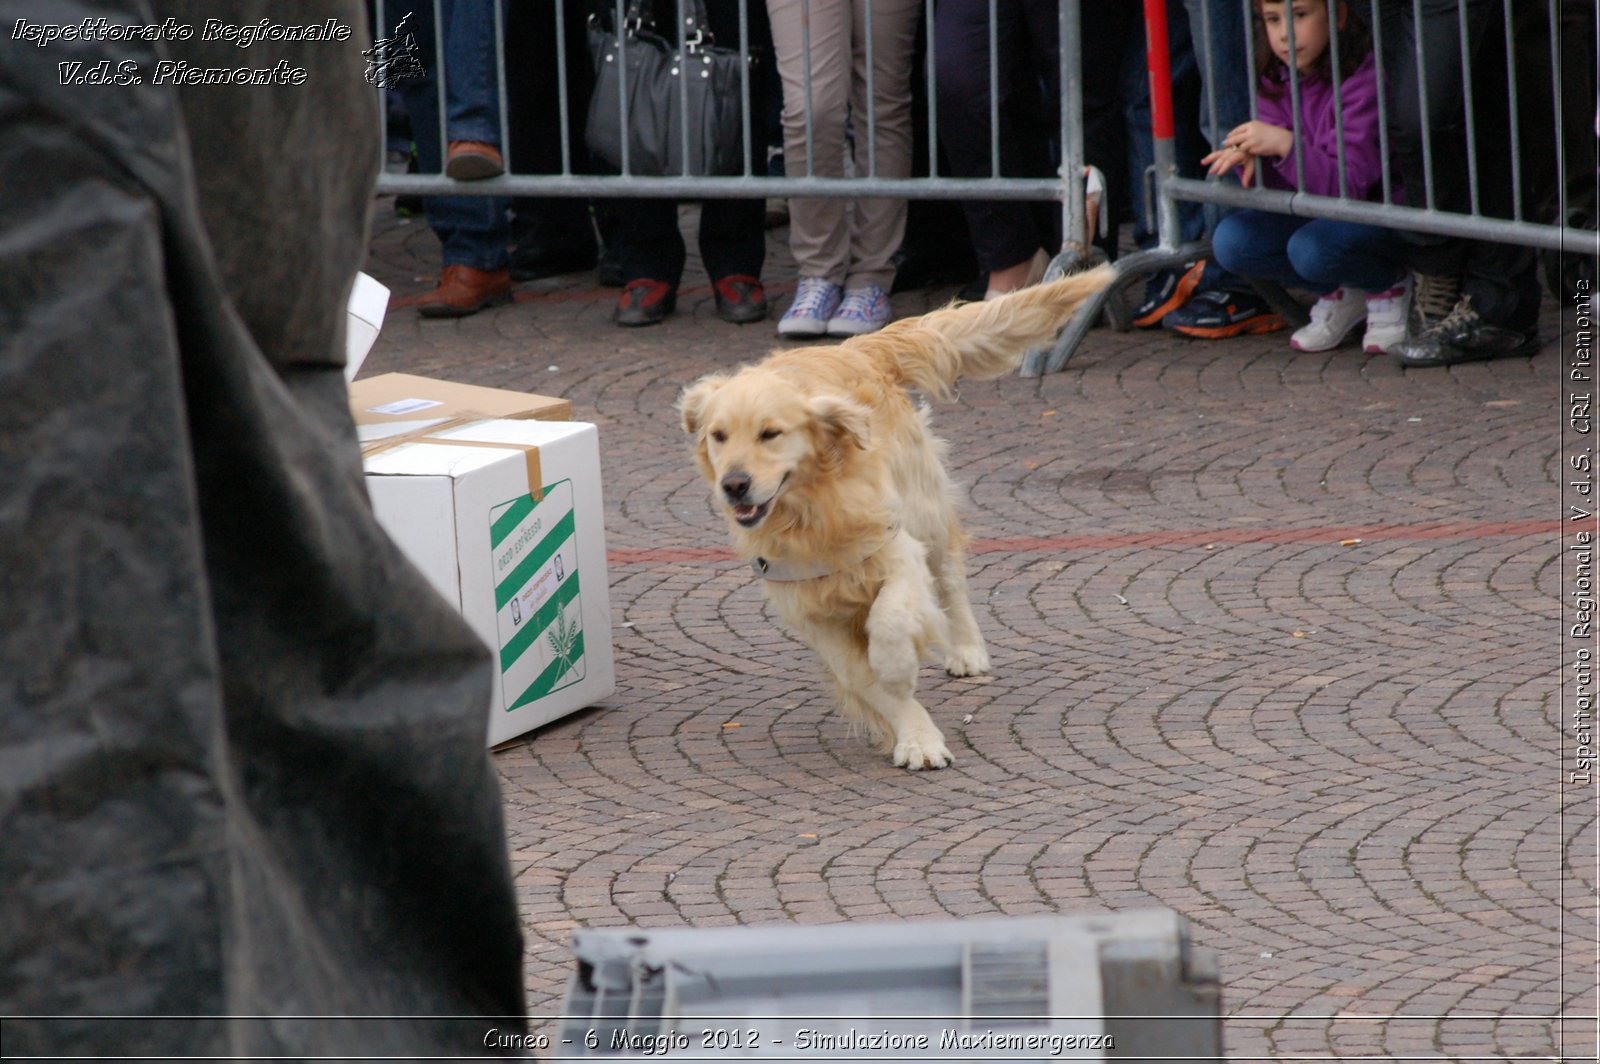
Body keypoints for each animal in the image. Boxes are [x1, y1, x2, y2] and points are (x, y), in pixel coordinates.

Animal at [675, 264, 1113, 764]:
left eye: (770, 433)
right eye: (718, 436)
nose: (734, 484)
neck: (812, 511)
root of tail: (856, 346)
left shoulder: (896, 551)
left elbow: (887, 620)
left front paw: (898, 666)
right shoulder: (812, 611)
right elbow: (865, 681)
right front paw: (917, 737)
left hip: (926, 511)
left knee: (951, 580)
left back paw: (967, 649)